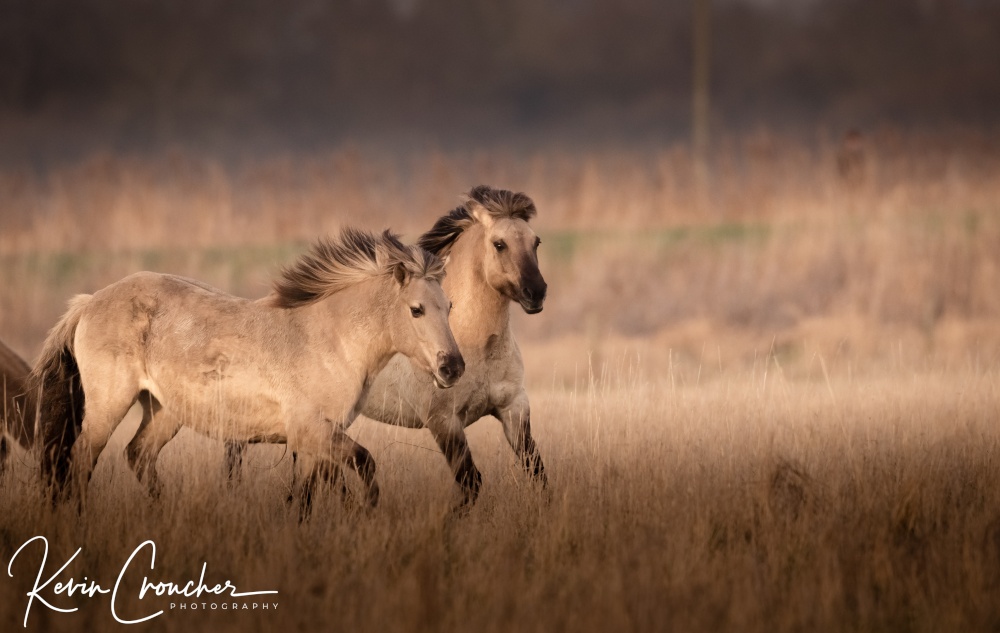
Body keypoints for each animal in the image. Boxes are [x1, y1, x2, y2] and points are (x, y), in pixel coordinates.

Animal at [29, 228, 464, 509]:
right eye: (417, 309)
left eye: (449, 306)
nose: (453, 367)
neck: (330, 340)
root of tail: (88, 302)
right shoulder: (312, 431)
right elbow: (365, 465)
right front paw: (367, 513)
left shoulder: (314, 440)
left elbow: (305, 498)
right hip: (109, 406)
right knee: (81, 461)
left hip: (164, 410)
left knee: (138, 455)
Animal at [226, 185, 548, 509]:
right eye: (499, 244)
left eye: (536, 242)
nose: (537, 292)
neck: (477, 344)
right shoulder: (443, 421)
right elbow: (470, 483)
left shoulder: (514, 409)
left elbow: (537, 471)